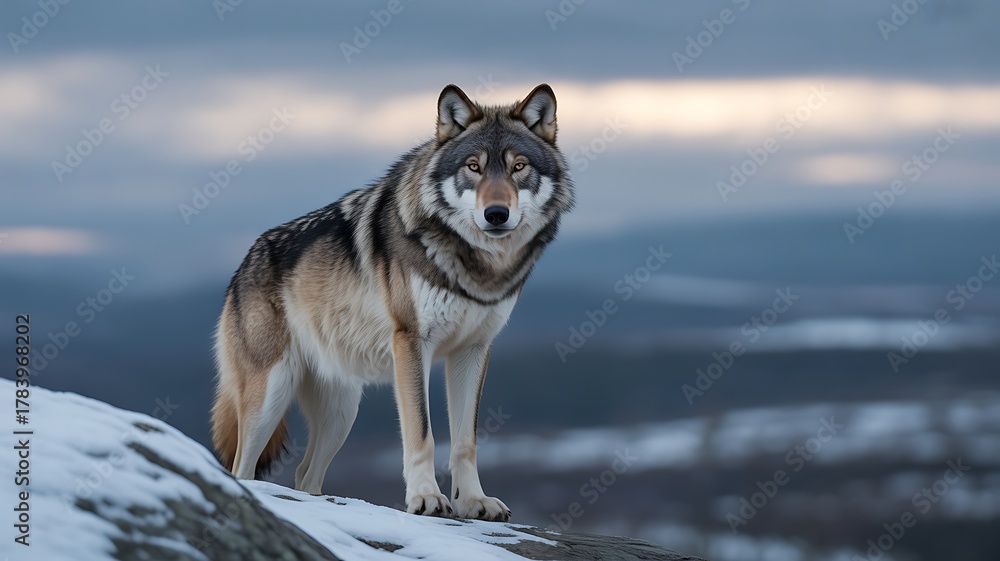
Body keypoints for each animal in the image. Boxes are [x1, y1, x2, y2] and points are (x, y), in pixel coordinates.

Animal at [211, 83, 574, 521]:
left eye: (519, 167)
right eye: (473, 167)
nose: (496, 214)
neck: (477, 267)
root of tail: (243, 263)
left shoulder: (473, 350)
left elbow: (465, 441)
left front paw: (473, 501)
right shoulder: (412, 342)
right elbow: (422, 432)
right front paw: (426, 498)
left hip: (341, 413)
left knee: (303, 475)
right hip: (270, 397)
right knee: (241, 469)